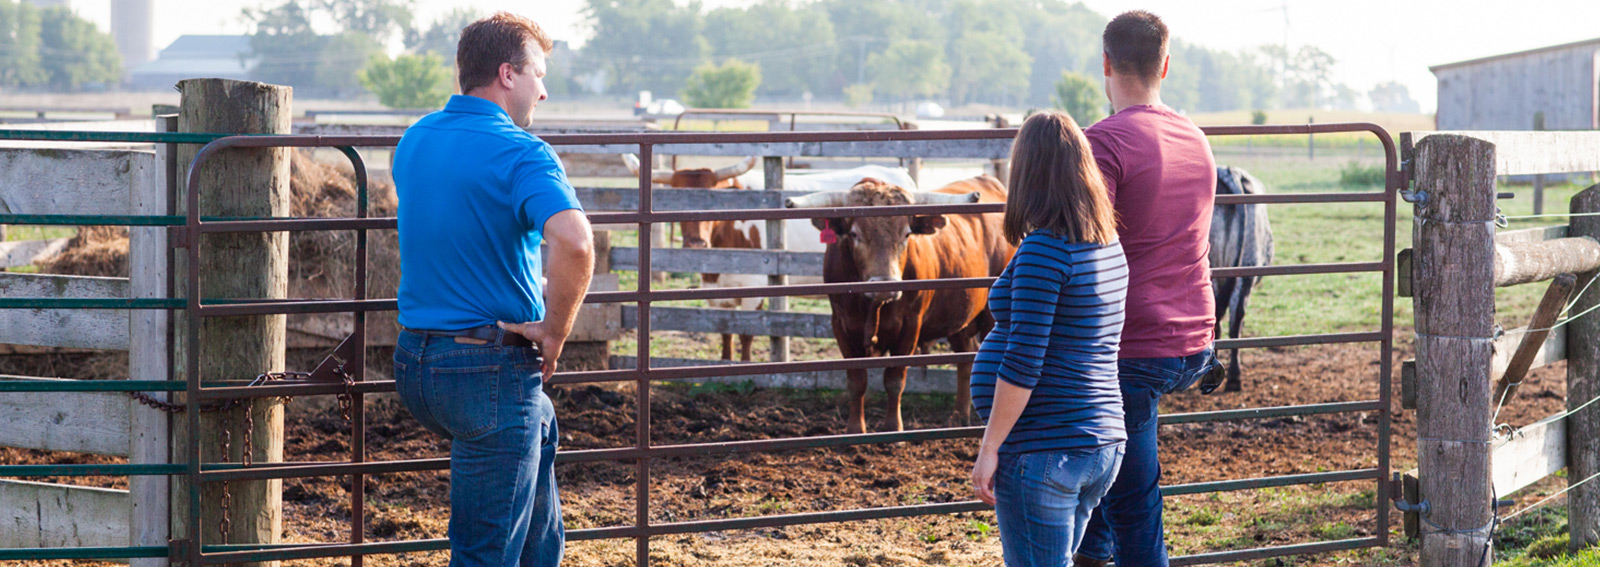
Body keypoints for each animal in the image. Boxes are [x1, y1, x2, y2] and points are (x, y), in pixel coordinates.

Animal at [784, 174, 1011, 432]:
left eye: (906, 234)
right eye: (854, 234)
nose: (884, 285)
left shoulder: (910, 326)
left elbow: (894, 380)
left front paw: (894, 428)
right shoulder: (841, 325)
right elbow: (856, 381)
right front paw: (855, 430)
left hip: (991, 316)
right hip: (958, 317)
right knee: (966, 357)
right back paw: (958, 416)